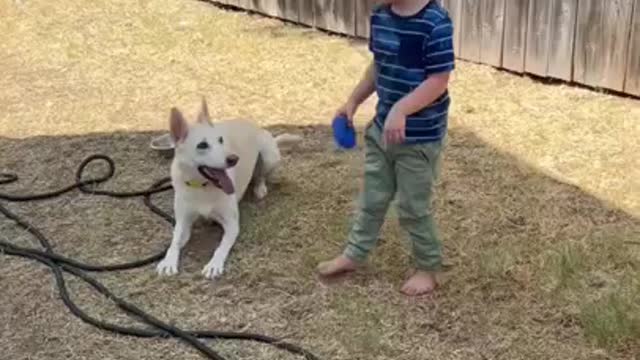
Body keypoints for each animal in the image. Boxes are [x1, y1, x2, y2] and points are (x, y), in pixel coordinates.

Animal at [158, 98, 302, 278]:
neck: (202, 187)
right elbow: (175, 241)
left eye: (221, 140)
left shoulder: (231, 224)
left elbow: (221, 247)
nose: (234, 158)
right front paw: (168, 261)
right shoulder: (183, 222)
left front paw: (214, 265)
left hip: (270, 156)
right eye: (202, 145)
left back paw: (260, 188)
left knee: (260, 175)